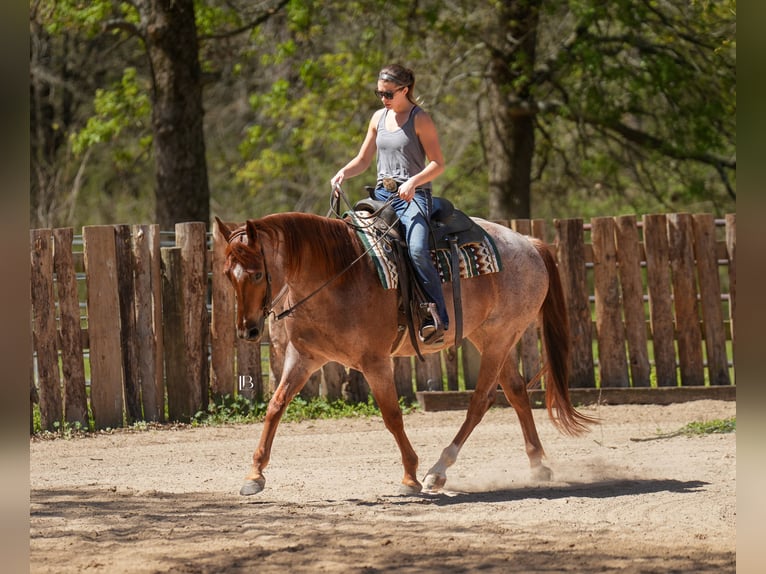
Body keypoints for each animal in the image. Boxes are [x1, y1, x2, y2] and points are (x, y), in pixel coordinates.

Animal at [215, 212, 596, 496]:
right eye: (227, 275)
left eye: (257, 274)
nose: (247, 331)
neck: (336, 275)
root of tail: (529, 244)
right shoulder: (304, 358)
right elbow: (275, 407)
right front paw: (254, 475)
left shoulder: (375, 362)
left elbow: (392, 416)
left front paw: (410, 477)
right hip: (489, 338)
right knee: (515, 392)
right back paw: (537, 464)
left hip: (501, 337)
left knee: (480, 401)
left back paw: (438, 471)